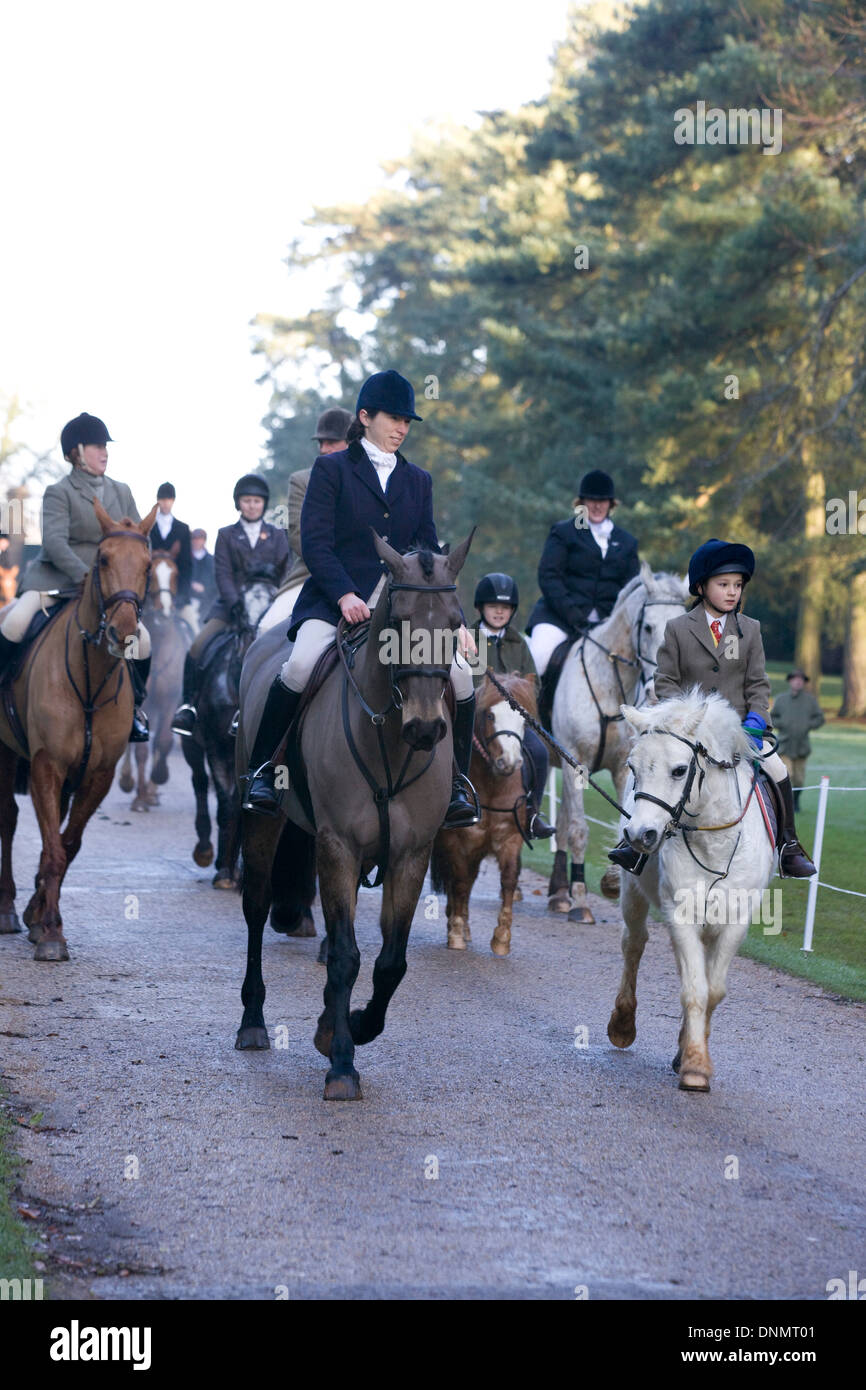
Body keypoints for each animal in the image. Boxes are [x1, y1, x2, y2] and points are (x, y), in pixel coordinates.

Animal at [0, 505, 158, 961]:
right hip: (5, 753)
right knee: (8, 819)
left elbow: (66, 844)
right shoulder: (45, 766)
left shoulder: (98, 774)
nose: (123, 630)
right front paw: (51, 932)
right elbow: (54, 846)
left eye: (147, 566)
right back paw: (8, 909)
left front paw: (43, 916)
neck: (90, 679)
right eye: (102, 560)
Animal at [234, 528, 475, 1095]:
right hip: (262, 821)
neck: (387, 737)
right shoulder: (337, 846)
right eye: (400, 620)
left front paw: (351, 1027)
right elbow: (345, 956)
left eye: (455, 622)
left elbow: (390, 963)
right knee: (256, 906)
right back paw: (253, 1022)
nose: (426, 728)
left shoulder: (409, 854)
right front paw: (342, 1061)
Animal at [430, 669, 539, 956]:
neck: (493, 786)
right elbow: (458, 882)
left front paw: (502, 937)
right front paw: (456, 932)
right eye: (490, 716)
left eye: (524, 720)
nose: (509, 762)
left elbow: (509, 880)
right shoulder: (457, 841)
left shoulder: (510, 839)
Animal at [606, 689, 778, 1089]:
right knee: (633, 944)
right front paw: (696, 1066)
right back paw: (622, 1024)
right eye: (633, 769)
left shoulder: (735, 920)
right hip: (633, 895)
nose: (640, 835)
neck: (715, 841)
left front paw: (689, 1054)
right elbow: (695, 989)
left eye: (679, 770)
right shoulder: (681, 914)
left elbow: (713, 990)